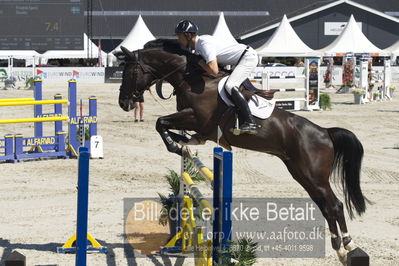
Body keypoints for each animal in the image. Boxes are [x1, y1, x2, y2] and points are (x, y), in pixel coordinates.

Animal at [118, 39, 368, 262]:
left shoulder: (197, 118)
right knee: (326, 207)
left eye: (130, 72)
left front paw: (175, 145)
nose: (123, 103)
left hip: (314, 176)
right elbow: (168, 127)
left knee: (335, 205)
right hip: (302, 174)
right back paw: (340, 248)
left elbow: (160, 122)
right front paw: (182, 144)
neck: (190, 79)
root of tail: (325, 133)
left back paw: (349, 245)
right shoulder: (197, 125)